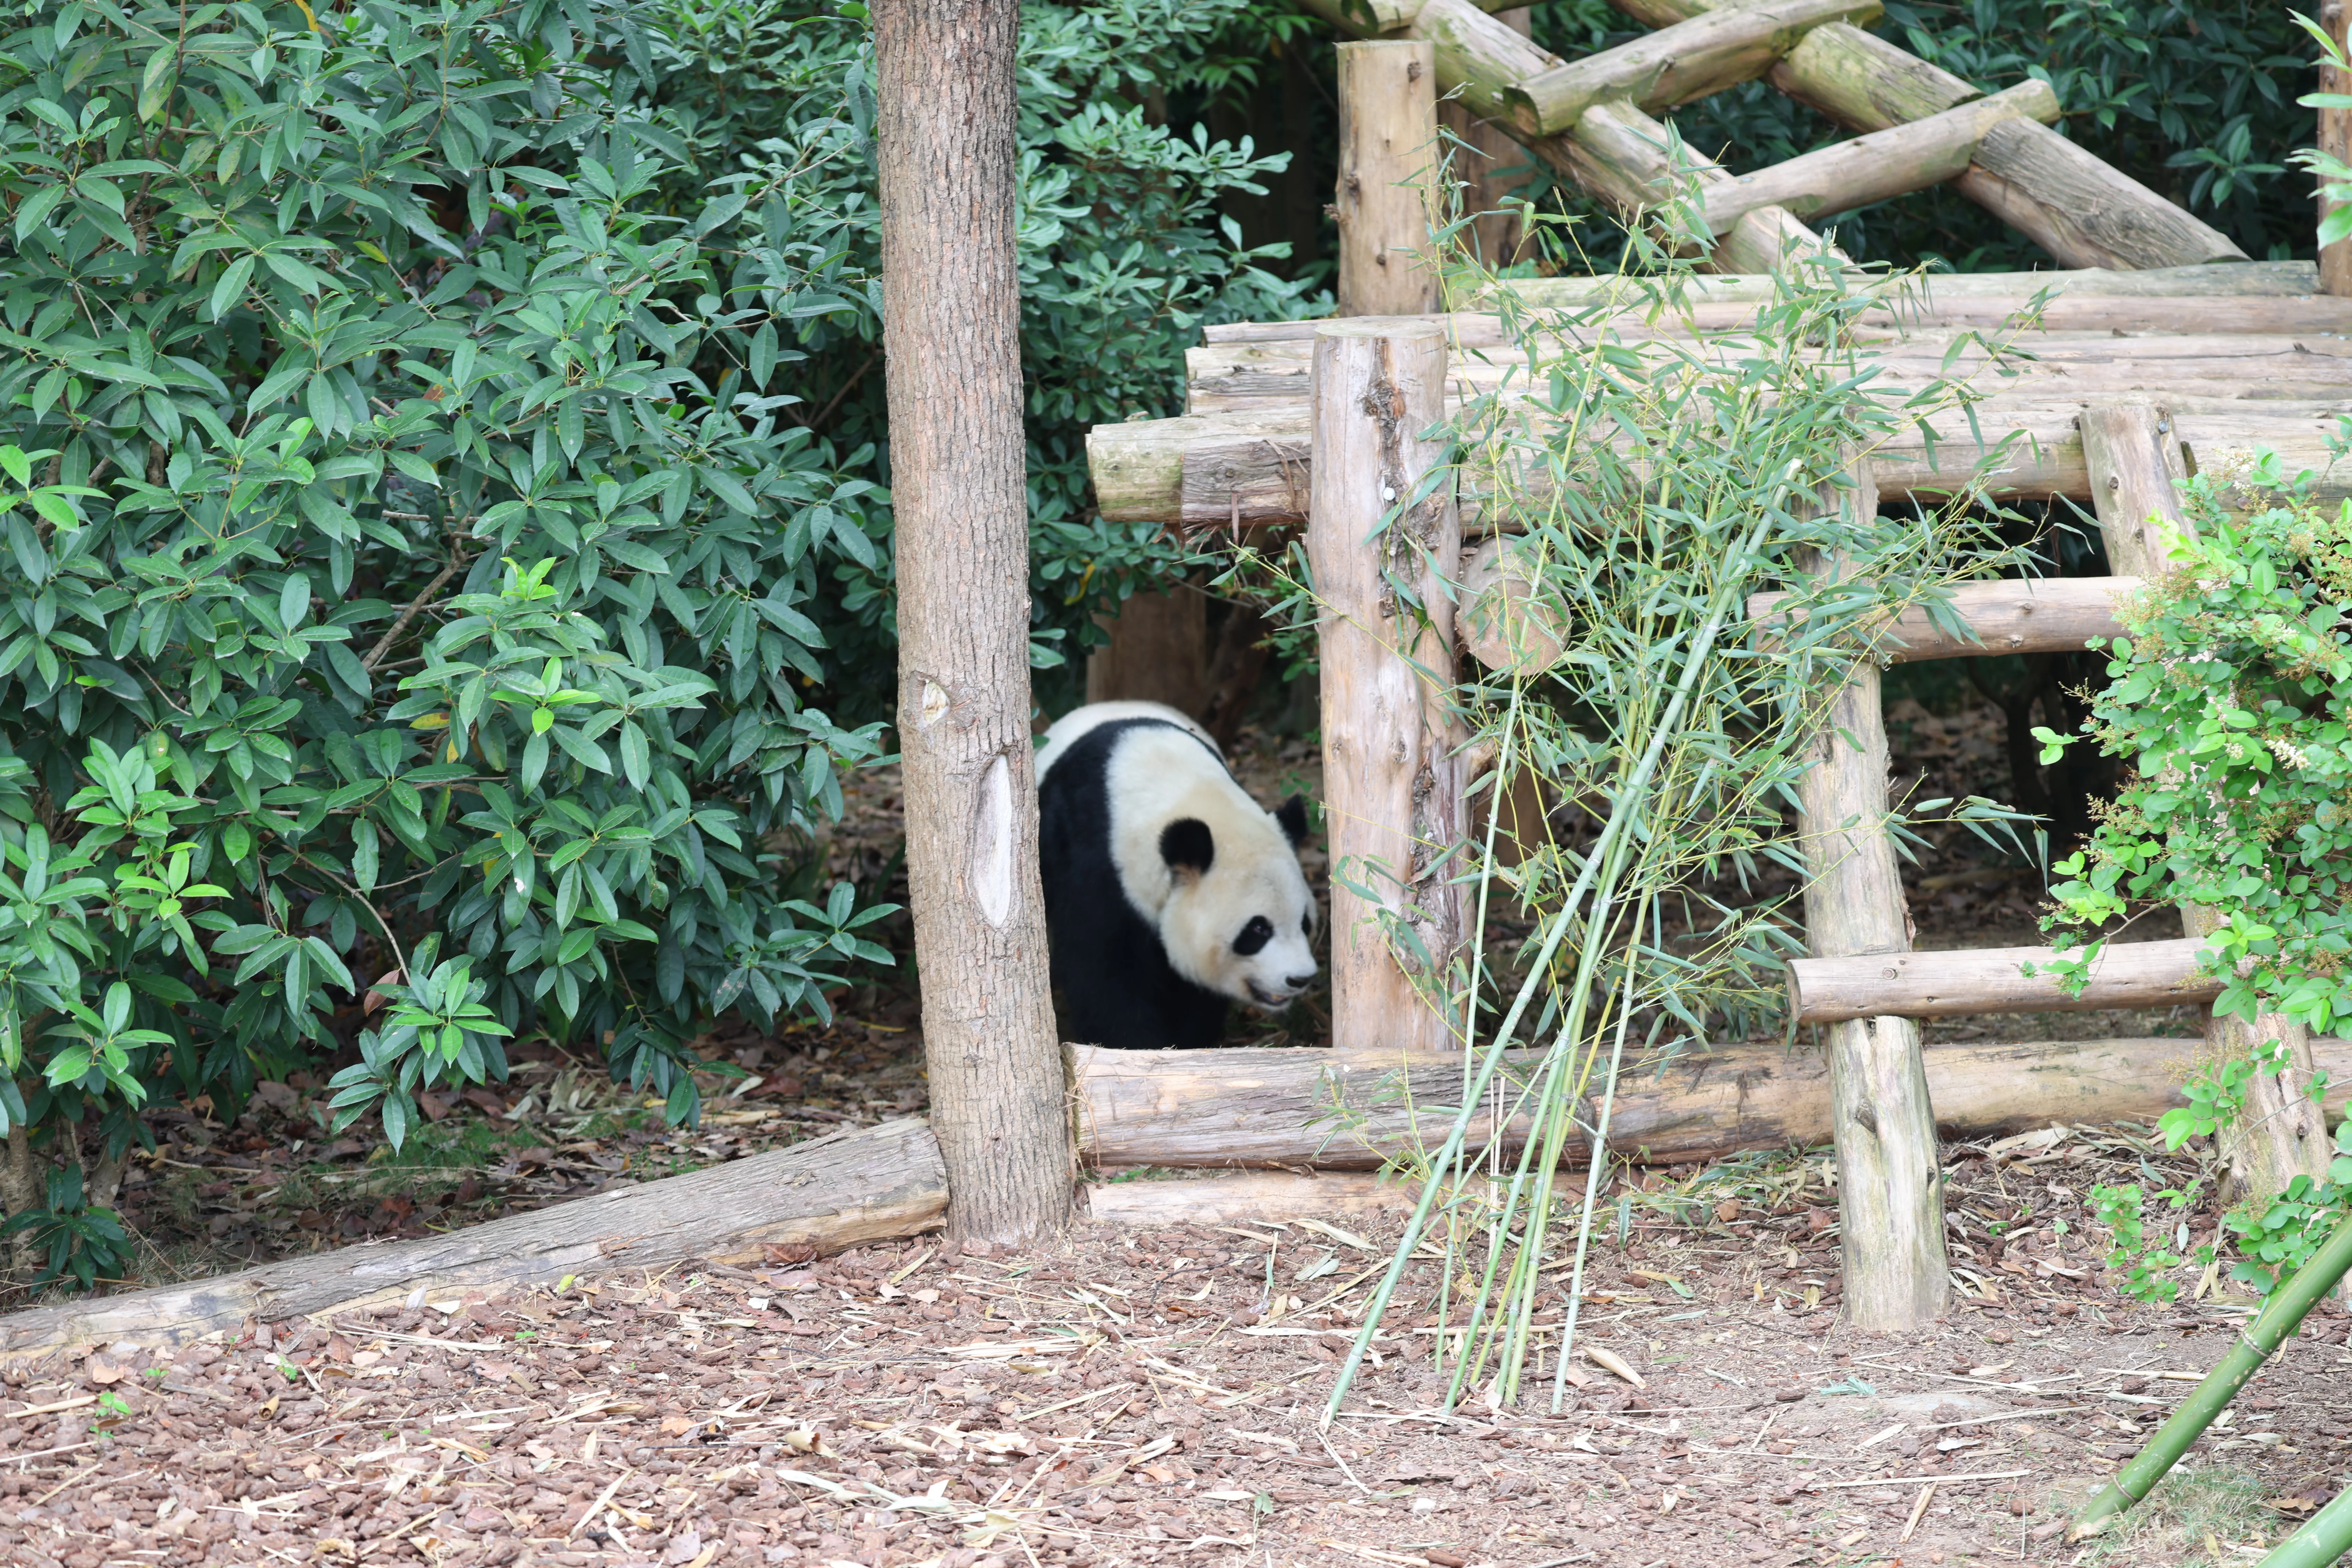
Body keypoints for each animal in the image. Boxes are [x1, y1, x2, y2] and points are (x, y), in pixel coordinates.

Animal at [1035, 701, 1318, 1050]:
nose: (1300, 978)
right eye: (1258, 929)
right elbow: (1104, 975)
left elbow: (1194, 992)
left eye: (1305, 923)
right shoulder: (1097, 863)